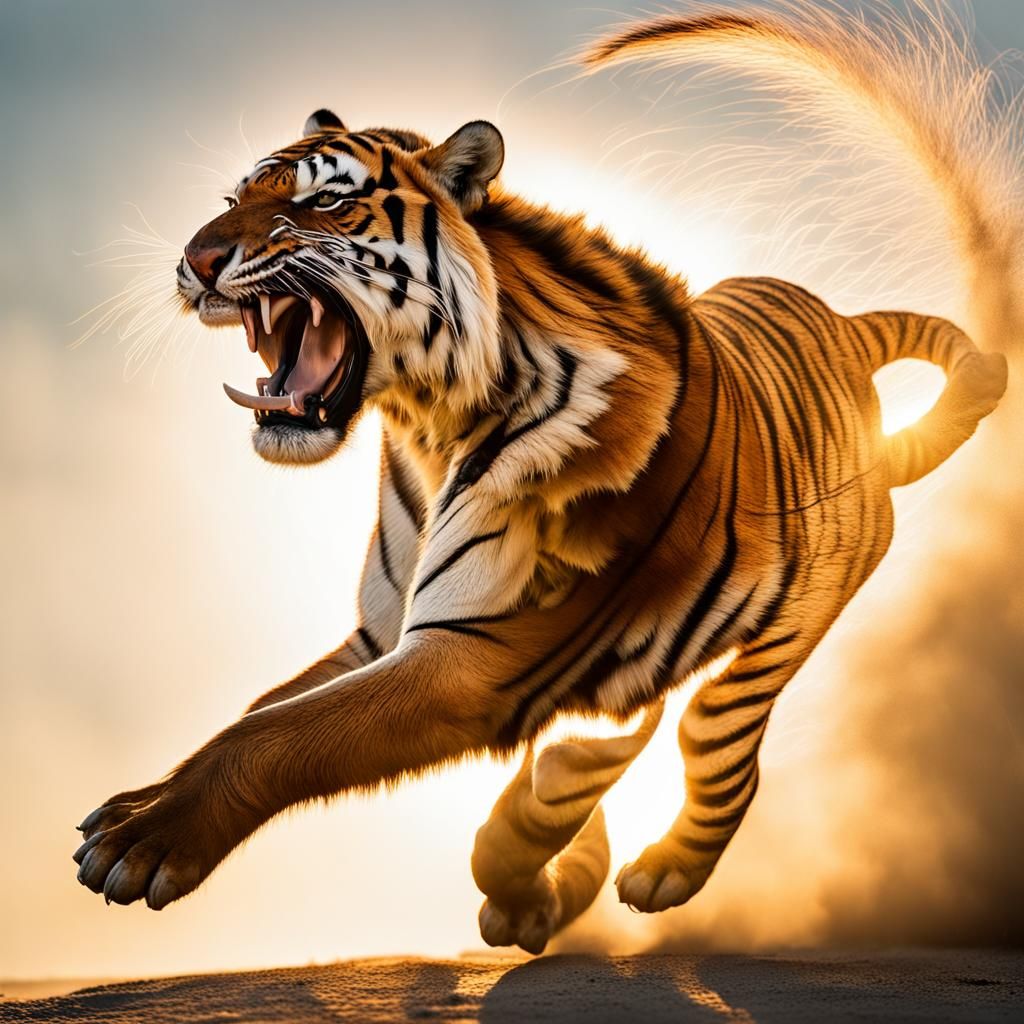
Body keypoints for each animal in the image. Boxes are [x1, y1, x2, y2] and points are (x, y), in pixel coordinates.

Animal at [73, 5, 1015, 957]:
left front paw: (145, 839)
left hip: (779, 633)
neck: (426, 427)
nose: (195, 258)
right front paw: (141, 803)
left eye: (324, 202)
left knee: (712, 746)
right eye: (233, 200)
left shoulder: (471, 654)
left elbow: (276, 733)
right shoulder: (379, 639)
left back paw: (662, 869)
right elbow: (256, 711)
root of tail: (845, 327)